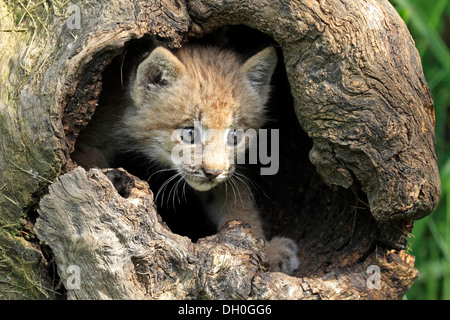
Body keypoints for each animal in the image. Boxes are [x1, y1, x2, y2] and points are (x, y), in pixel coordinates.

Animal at [73, 45, 298, 276]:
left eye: (234, 136)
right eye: (189, 133)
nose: (213, 172)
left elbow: (238, 204)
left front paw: (267, 250)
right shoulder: (88, 143)